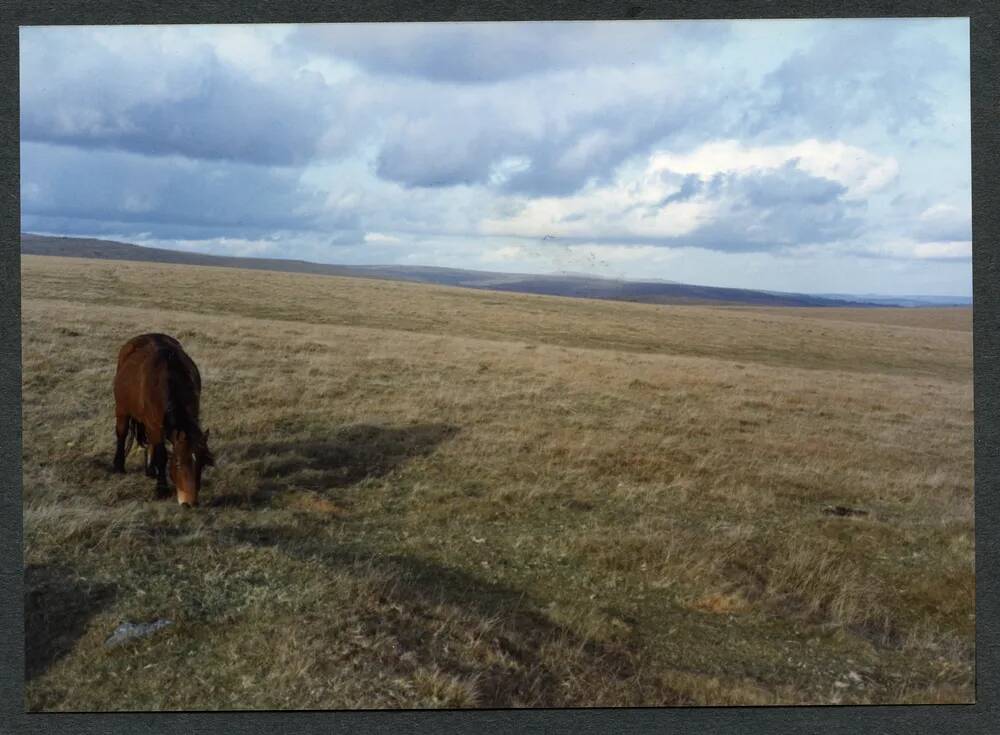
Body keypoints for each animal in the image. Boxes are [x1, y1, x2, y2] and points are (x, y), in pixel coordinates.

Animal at [113, 334, 215, 506]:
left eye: (201, 464)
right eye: (178, 463)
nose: (189, 503)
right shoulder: (154, 425)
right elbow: (161, 455)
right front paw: (161, 489)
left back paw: (150, 470)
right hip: (122, 410)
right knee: (122, 434)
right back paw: (118, 466)